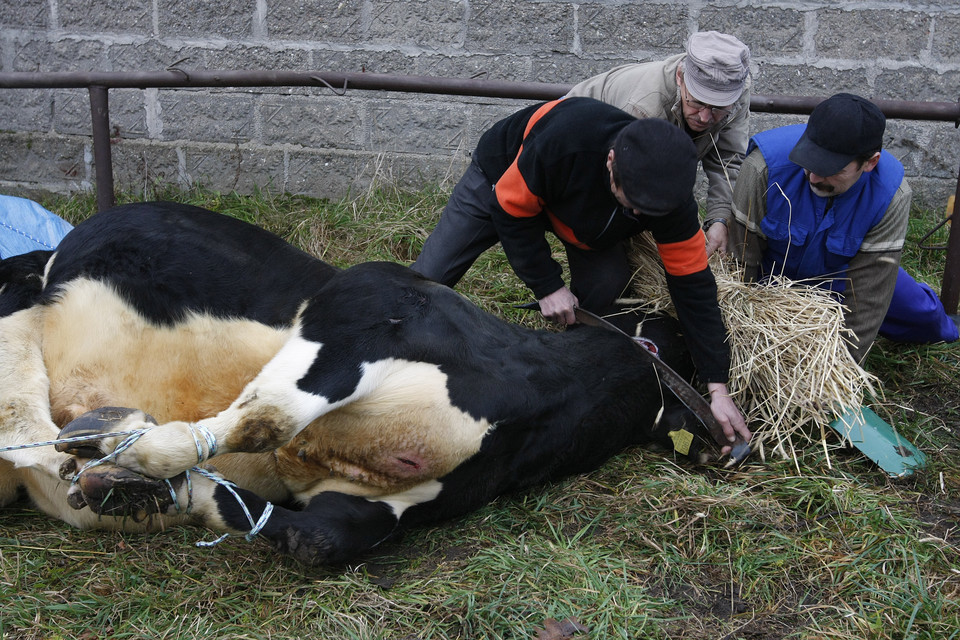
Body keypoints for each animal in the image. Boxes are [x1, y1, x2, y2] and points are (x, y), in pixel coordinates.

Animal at [0, 201, 736, 564]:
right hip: (22, 309)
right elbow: (266, 417)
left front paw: (140, 486)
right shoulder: (363, 304)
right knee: (22, 416)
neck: (535, 398)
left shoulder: (372, 508)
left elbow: (306, 535)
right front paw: (124, 447)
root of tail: (58, 245)